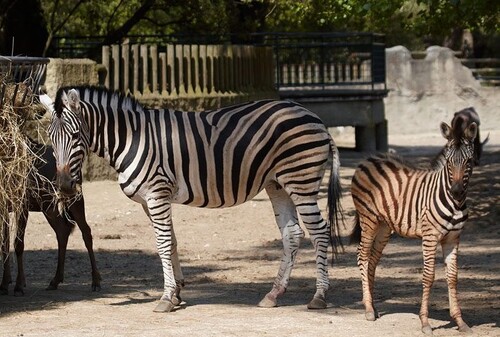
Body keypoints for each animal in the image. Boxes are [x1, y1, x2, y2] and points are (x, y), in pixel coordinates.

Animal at [47, 86, 344, 312]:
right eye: (50, 137)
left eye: (75, 136)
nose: (64, 186)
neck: (132, 138)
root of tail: (314, 116)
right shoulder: (150, 200)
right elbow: (172, 242)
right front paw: (177, 293)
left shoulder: (157, 194)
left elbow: (163, 244)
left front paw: (165, 298)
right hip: (278, 184)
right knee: (292, 234)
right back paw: (273, 294)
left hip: (301, 181)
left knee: (320, 231)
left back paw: (319, 297)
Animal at [350, 119, 478, 334]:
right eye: (449, 163)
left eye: (469, 162)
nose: (457, 192)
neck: (455, 204)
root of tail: (369, 158)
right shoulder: (430, 237)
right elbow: (428, 276)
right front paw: (425, 323)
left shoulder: (453, 238)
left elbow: (452, 277)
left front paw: (460, 322)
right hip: (368, 220)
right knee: (363, 256)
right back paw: (368, 309)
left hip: (384, 226)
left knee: (373, 260)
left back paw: (374, 307)